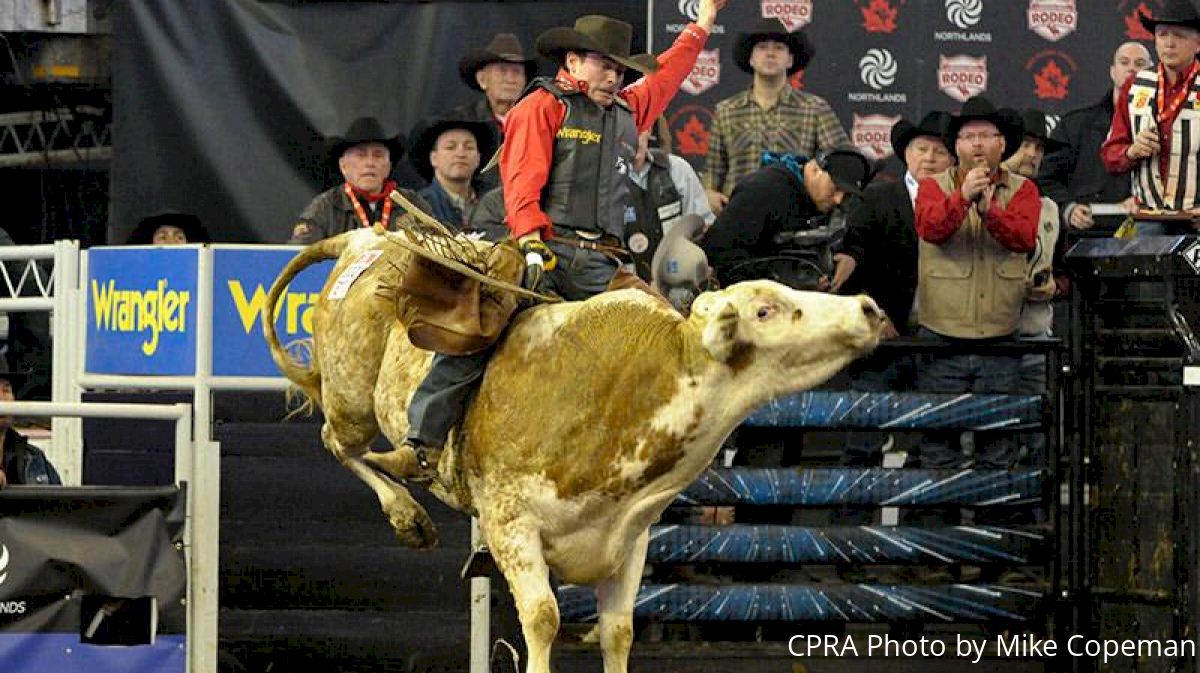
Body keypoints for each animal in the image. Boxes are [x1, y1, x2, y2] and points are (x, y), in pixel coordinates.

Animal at [260, 227, 883, 671]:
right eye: (765, 309)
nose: (868, 307)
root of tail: (367, 238)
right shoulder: (510, 525)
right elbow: (542, 619)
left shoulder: (629, 539)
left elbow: (618, 632)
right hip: (351, 396)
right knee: (339, 442)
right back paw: (408, 515)